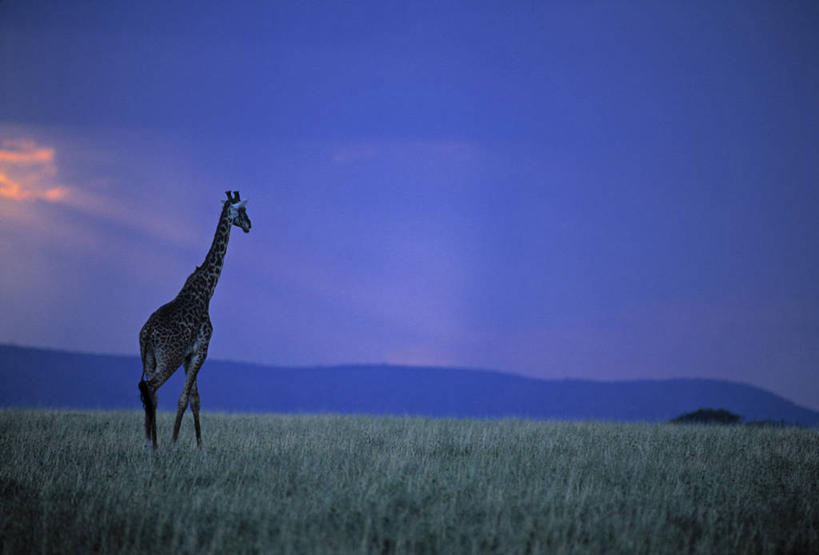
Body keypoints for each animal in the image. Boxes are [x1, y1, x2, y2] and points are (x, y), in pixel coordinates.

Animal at [138, 191, 250, 452]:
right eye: (242, 211)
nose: (250, 226)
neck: (207, 288)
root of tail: (147, 335)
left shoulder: (191, 354)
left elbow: (195, 399)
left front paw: (199, 446)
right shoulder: (202, 349)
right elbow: (184, 398)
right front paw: (175, 443)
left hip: (149, 358)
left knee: (149, 394)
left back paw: (150, 443)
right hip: (169, 358)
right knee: (151, 387)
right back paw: (154, 443)